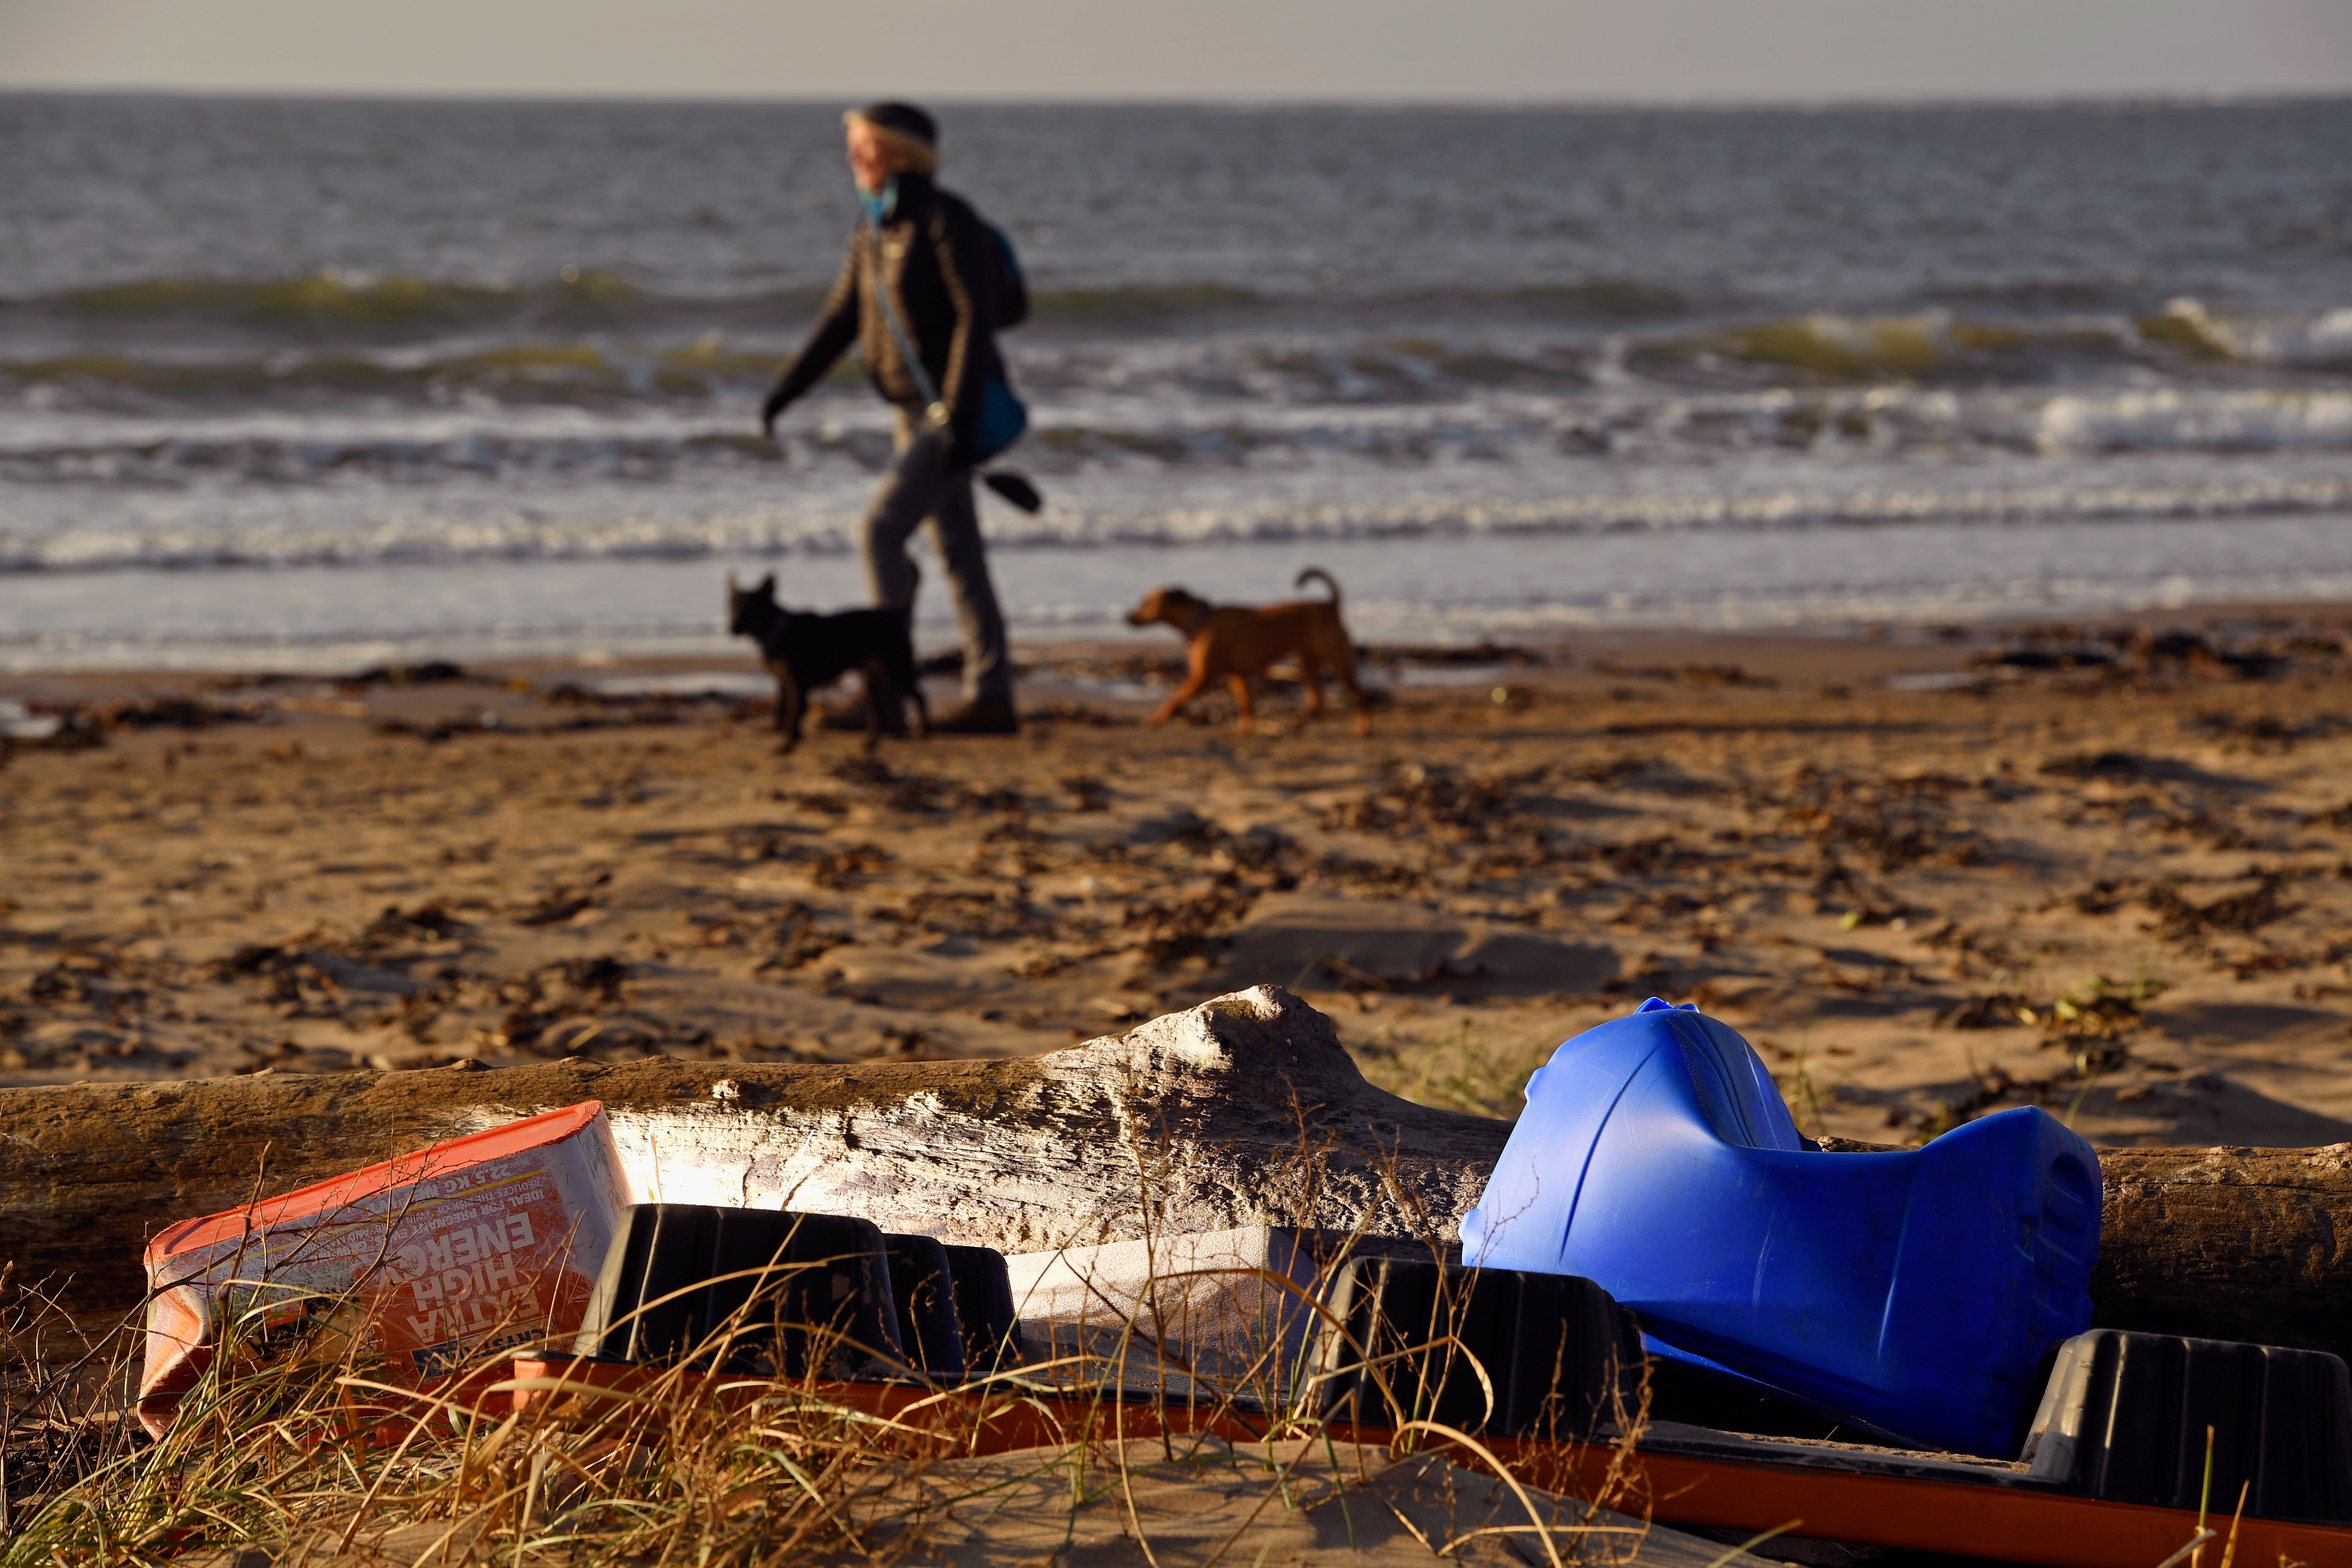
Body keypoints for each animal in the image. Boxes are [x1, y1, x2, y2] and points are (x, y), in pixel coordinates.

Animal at [724, 573, 926, 757]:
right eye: (732, 606)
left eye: (751, 608)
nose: (732, 628)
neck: (778, 629)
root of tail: (893, 615)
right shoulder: (784, 684)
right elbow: (786, 713)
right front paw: (793, 739)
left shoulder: (798, 685)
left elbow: (793, 715)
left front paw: (788, 745)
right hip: (873, 678)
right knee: (877, 711)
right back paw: (871, 742)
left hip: (897, 670)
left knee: (920, 696)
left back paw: (922, 731)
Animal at [1124, 566, 1373, 733]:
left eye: (1146, 602)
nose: (1126, 617)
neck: (1201, 620)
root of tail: (1331, 606)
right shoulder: (1237, 678)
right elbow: (1246, 706)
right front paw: (1244, 730)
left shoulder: (1202, 677)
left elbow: (1174, 700)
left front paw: (1157, 718)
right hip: (1307, 660)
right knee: (1317, 700)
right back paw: (1297, 722)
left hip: (1339, 662)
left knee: (1359, 695)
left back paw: (1363, 727)